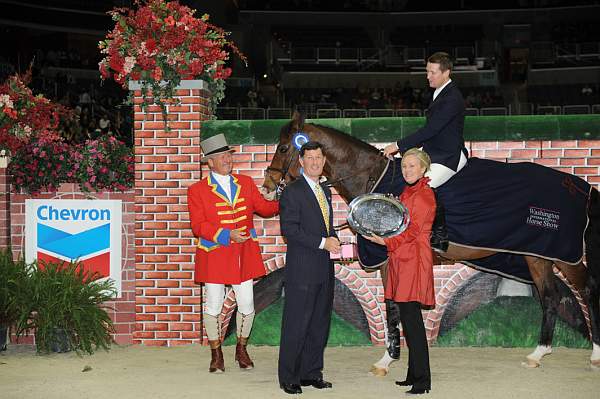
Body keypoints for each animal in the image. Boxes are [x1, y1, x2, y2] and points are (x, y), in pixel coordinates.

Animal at [262, 111, 600, 374]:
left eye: (283, 147)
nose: (266, 187)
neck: (374, 178)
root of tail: (578, 187)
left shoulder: (388, 260)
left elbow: (392, 304)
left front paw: (388, 358)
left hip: (563, 255)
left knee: (585, 290)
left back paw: (595, 353)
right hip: (537, 255)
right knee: (550, 296)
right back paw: (538, 353)